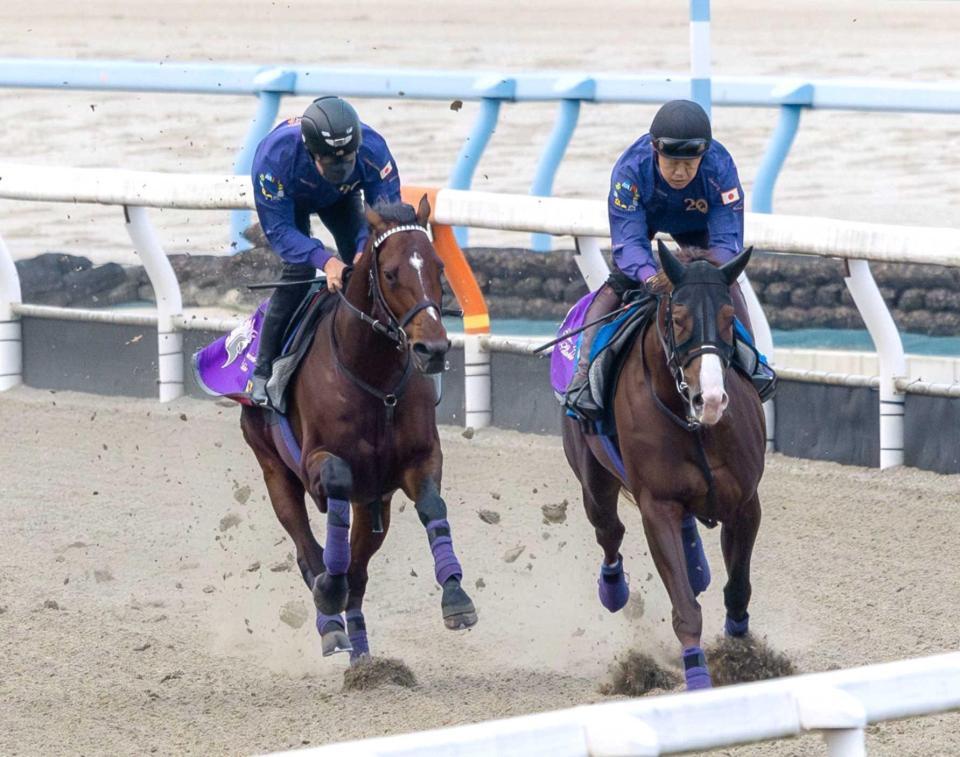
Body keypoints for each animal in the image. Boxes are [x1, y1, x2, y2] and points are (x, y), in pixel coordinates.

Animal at [242, 196, 478, 660]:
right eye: (390, 273)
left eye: (439, 266)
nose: (433, 349)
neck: (373, 378)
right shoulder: (317, 463)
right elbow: (333, 488)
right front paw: (328, 593)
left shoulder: (416, 462)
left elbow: (432, 507)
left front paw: (456, 597)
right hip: (274, 470)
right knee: (308, 552)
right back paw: (331, 624)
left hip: (374, 505)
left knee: (358, 572)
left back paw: (361, 651)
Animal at [564, 244, 764, 692]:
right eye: (677, 318)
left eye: (730, 317)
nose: (711, 399)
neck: (694, 424)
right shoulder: (657, 506)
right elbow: (685, 608)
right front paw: (699, 676)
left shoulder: (744, 503)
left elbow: (738, 587)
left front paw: (742, 657)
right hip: (593, 480)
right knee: (609, 531)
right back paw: (614, 592)